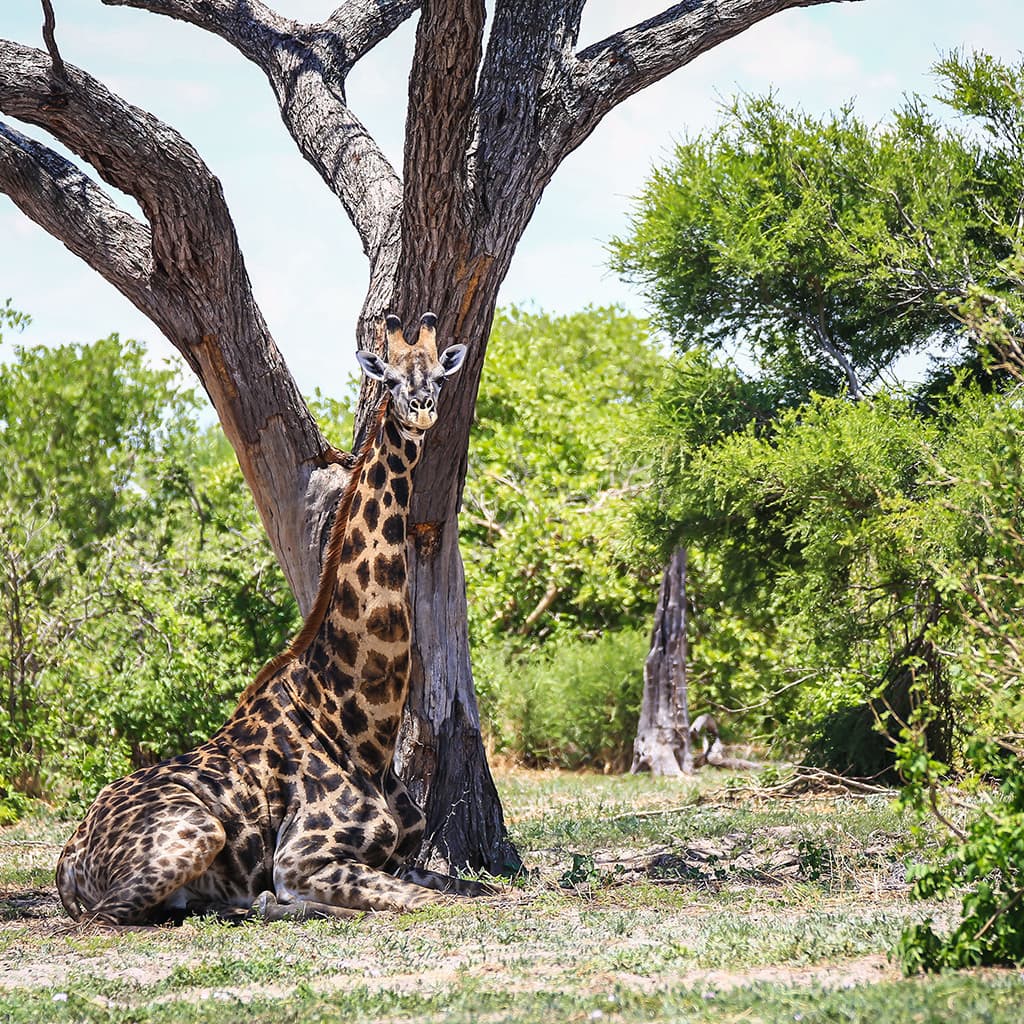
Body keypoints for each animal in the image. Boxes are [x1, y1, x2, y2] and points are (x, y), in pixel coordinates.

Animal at [55, 312, 483, 925]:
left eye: (439, 377)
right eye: (392, 378)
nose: (421, 410)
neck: (365, 734)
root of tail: (67, 859)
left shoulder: (402, 856)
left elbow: (473, 887)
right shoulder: (300, 859)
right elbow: (429, 902)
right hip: (198, 832)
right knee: (115, 915)